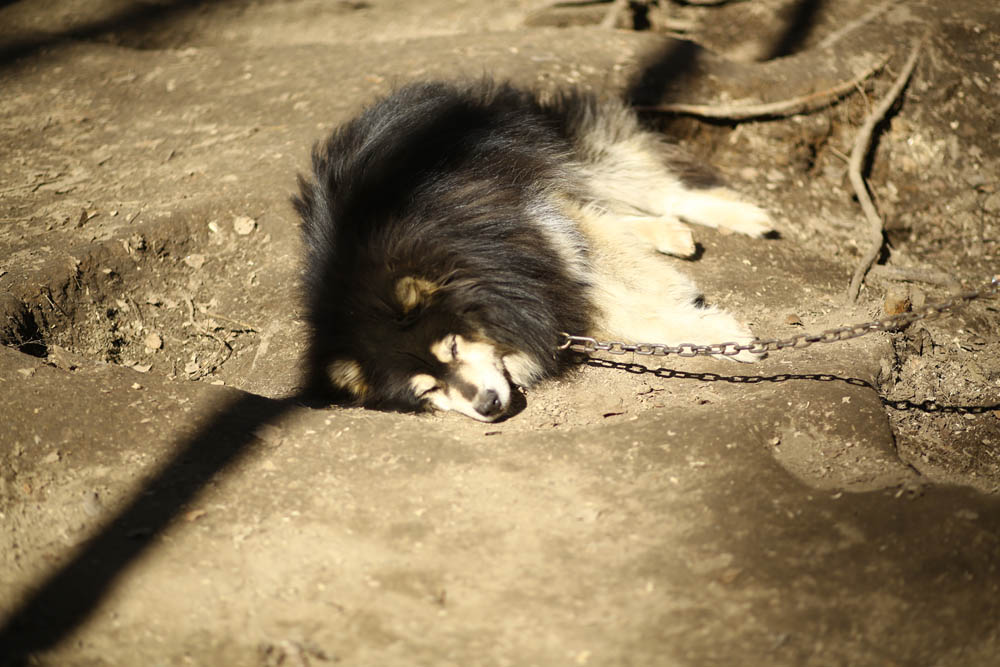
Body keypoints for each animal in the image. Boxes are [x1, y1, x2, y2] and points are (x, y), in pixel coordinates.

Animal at [292, 79, 772, 422]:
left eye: (452, 347)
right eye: (427, 389)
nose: (486, 405)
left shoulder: (536, 224)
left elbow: (626, 286)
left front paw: (719, 334)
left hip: (546, 148)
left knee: (647, 188)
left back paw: (744, 218)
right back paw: (668, 233)